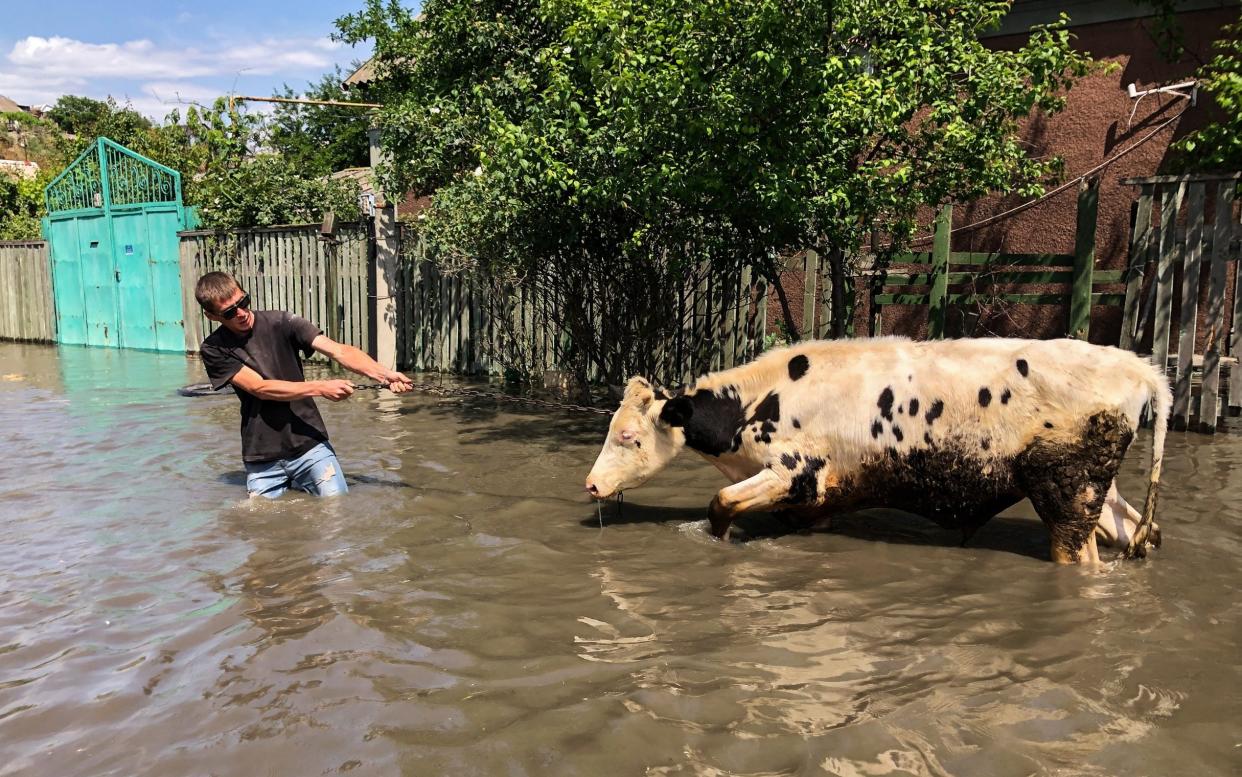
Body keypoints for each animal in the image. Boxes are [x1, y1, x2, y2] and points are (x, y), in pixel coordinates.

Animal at [586, 335, 1167, 558]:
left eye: (629, 436)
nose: (591, 484)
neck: (757, 403)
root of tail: (1138, 367)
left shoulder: (795, 472)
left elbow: (720, 505)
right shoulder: (818, 500)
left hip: (1067, 498)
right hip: (1098, 494)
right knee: (1145, 530)